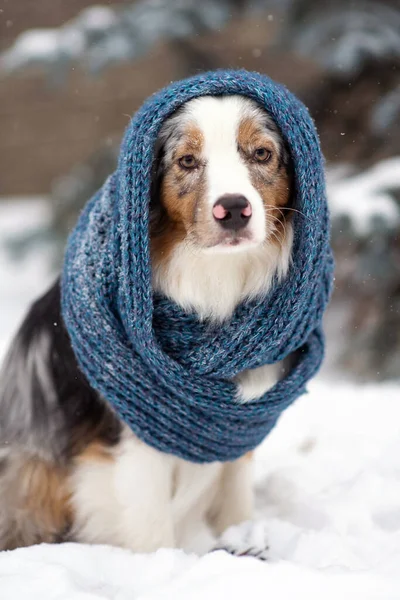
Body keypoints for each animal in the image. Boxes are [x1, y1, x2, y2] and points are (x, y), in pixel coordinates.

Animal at [0, 95, 294, 556]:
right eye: (187, 160)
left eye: (262, 154)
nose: (232, 209)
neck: (214, 286)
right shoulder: (134, 435)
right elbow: (151, 525)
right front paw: (167, 563)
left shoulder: (236, 426)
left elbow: (237, 496)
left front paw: (244, 537)